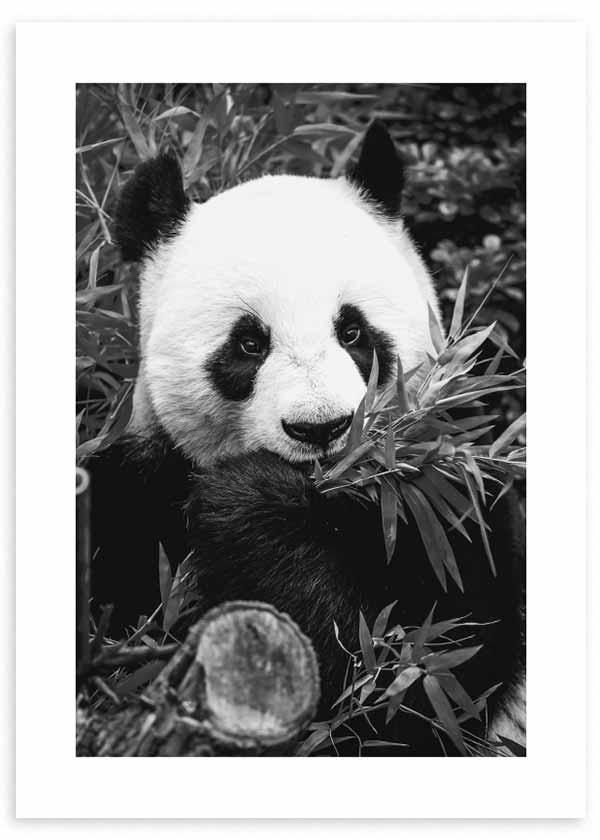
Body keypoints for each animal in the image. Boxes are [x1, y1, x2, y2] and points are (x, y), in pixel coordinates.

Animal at [88, 121, 525, 755]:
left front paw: (247, 504)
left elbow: (417, 681)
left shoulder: (452, 500)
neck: (334, 497)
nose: (321, 428)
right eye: (249, 344)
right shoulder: (134, 495)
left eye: (353, 331)